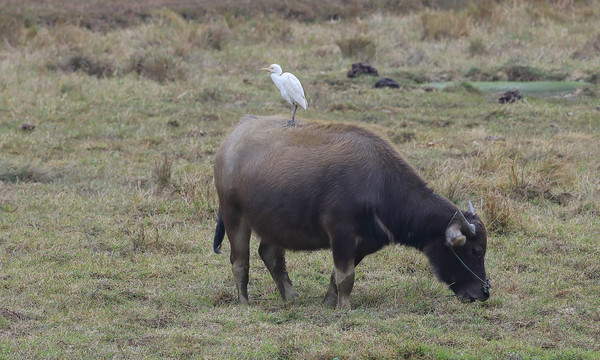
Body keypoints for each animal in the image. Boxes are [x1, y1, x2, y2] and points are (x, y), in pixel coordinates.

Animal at [213, 115, 490, 310]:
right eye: (476, 251)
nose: (484, 292)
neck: (380, 187)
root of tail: (230, 141)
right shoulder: (341, 233)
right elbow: (346, 276)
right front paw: (344, 307)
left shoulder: (364, 243)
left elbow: (337, 277)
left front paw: (328, 302)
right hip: (232, 214)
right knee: (240, 260)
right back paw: (244, 301)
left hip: (273, 222)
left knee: (270, 255)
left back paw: (291, 296)